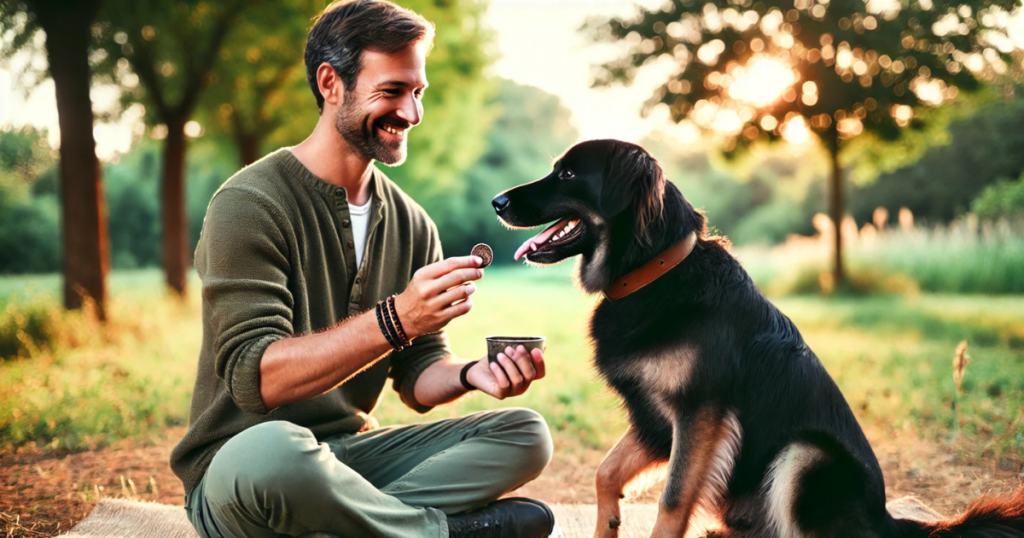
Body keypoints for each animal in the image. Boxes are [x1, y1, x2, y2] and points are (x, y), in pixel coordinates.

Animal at [491, 139, 1019, 536]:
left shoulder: (700, 413)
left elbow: (672, 501)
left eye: (567, 175)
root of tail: (889, 524)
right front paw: (611, 522)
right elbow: (605, 473)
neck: (655, 271)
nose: (497, 202)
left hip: (805, 454)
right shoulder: (656, 418)